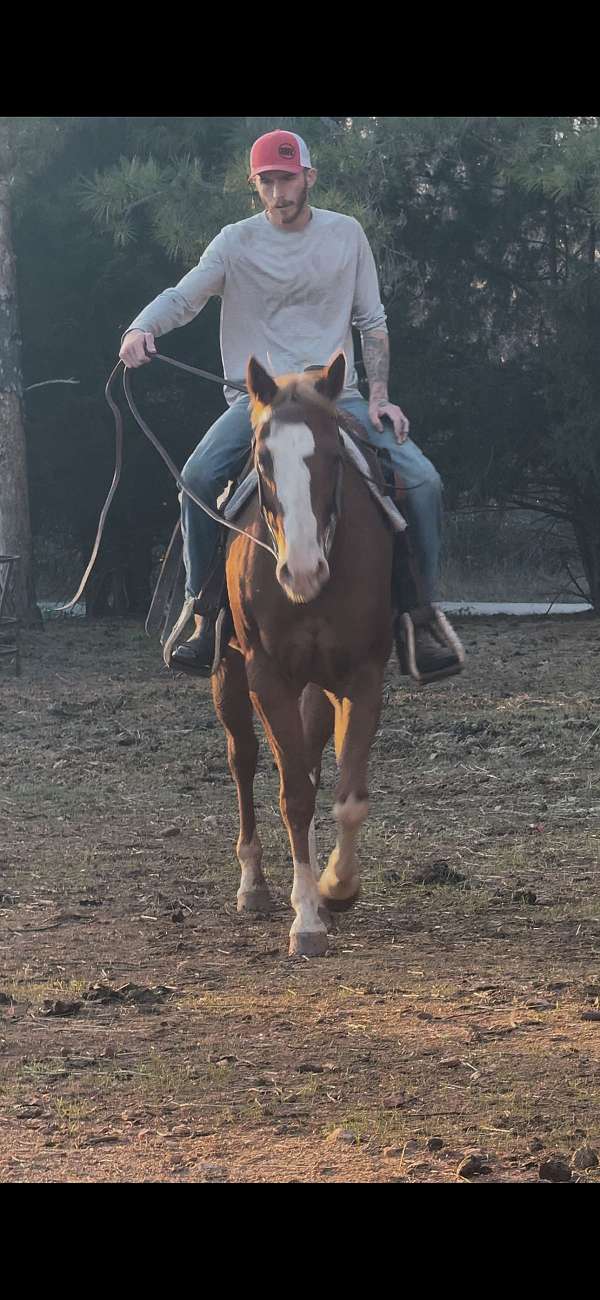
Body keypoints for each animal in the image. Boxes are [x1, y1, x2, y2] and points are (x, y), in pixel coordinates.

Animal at [211, 351, 394, 961]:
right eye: (262, 458)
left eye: (334, 455)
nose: (303, 570)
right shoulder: (266, 677)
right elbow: (293, 795)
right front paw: (307, 919)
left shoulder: (362, 675)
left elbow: (347, 795)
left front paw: (335, 887)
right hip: (229, 674)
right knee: (244, 759)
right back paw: (256, 886)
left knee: (311, 765)